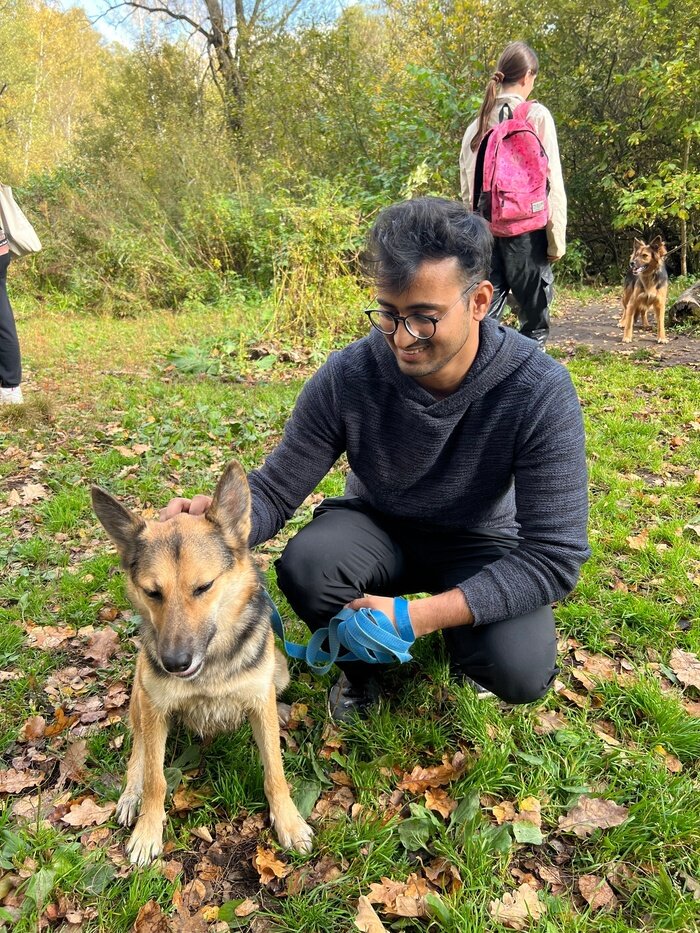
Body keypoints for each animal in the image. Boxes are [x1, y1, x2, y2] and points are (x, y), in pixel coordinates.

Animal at [91, 464, 314, 868]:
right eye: (152, 592)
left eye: (204, 587)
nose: (175, 663)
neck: (211, 665)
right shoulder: (155, 709)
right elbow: (156, 779)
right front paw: (148, 829)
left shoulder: (260, 702)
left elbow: (275, 771)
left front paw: (288, 822)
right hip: (140, 695)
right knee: (138, 751)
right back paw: (131, 794)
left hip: (280, 669)